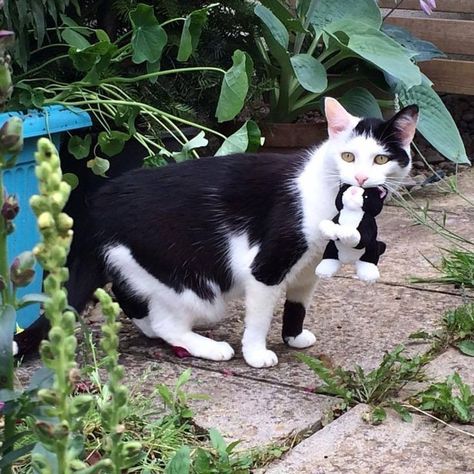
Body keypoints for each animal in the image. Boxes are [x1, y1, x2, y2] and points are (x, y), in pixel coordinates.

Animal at [67, 98, 418, 368]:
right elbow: (260, 316)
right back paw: (209, 348)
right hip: (189, 283)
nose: (360, 179)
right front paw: (256, 354)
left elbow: (298, 304)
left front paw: (293, 337)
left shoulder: (309, 268)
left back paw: (151, 328)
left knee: (130, 295)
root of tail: (100, 202)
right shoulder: (267, 266)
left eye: (381, 159)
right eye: (348, 156)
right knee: (168, 322)